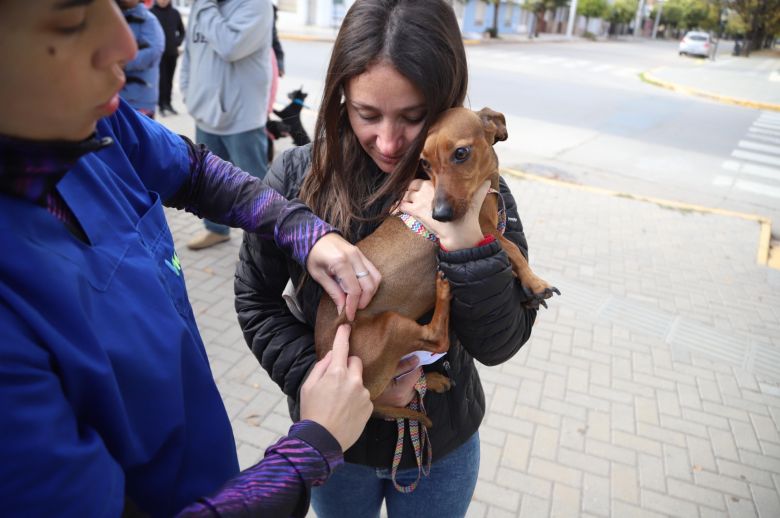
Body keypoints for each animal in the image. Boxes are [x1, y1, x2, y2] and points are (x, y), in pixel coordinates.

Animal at [314, 107, 556, 428]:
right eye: (425, 163)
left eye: (461, 153)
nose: (439, 215)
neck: (485, 191)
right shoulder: (483, 230)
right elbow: (512, 248)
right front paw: (536, 282)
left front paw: (528, 290)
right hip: (390, 325)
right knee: (437, 339)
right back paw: (443, 292)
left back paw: (434, 380)